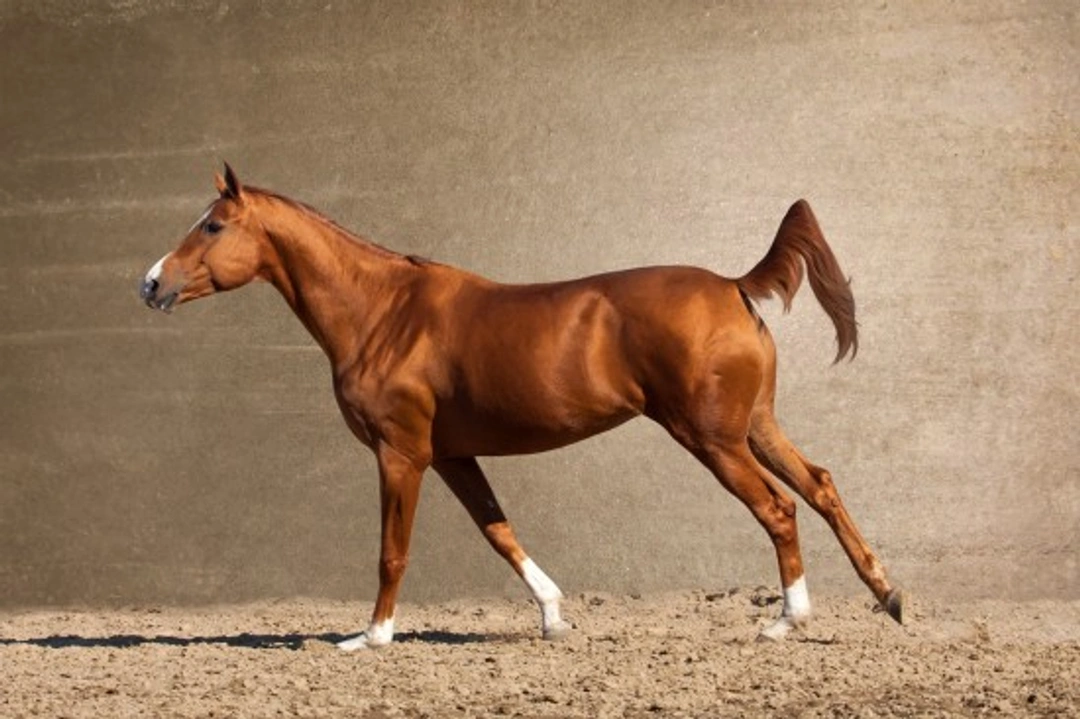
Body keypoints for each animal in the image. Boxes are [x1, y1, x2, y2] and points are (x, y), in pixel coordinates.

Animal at [140, 164, 903, 649]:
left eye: (212, 227)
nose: (150, 283)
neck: (383, 313)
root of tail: (733, 285)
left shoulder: (401, 452)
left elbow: (392, 550)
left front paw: (372, 636)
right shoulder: (453, 455)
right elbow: (498, 532)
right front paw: (553, 616)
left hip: (712, 438)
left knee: (779, 507)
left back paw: (786, 620)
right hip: (753, 426)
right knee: (821, 485)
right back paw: (888, 596)